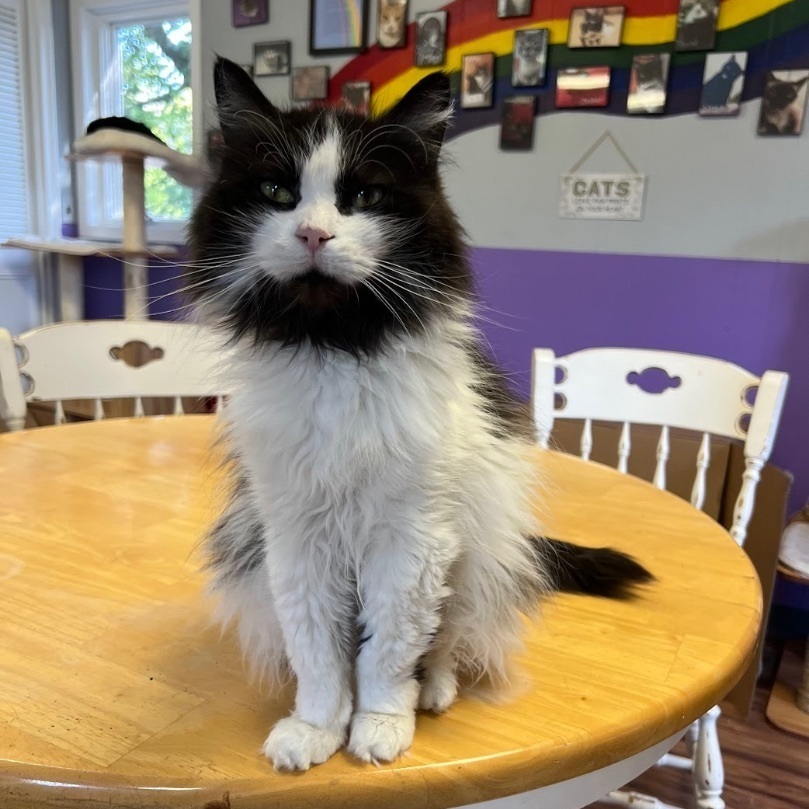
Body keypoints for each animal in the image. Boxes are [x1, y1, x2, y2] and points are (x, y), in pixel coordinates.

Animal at [188, 58, 652, 772]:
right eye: (276, 191)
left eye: (365, 198)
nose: (313, 233)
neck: (338, 350)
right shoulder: (296, 536)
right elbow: (319, 651)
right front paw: (316, 727)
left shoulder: (413, 538)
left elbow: (388, 649)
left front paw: (379, 723)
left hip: (476, 556)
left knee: (446, 643)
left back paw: (431, 692)